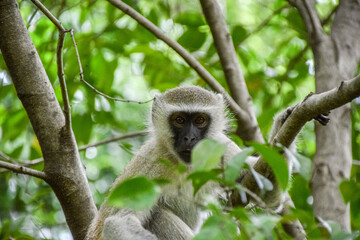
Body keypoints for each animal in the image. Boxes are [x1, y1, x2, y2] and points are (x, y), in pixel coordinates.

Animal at [86, 85, 292, 239]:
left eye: (200, 120)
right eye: (179, 119)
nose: (190, 138)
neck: (185, 166)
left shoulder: (223, 149)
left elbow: (269, 197)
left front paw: (282, 130)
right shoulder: (151, 163)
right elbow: (117, 222)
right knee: (156, 214)